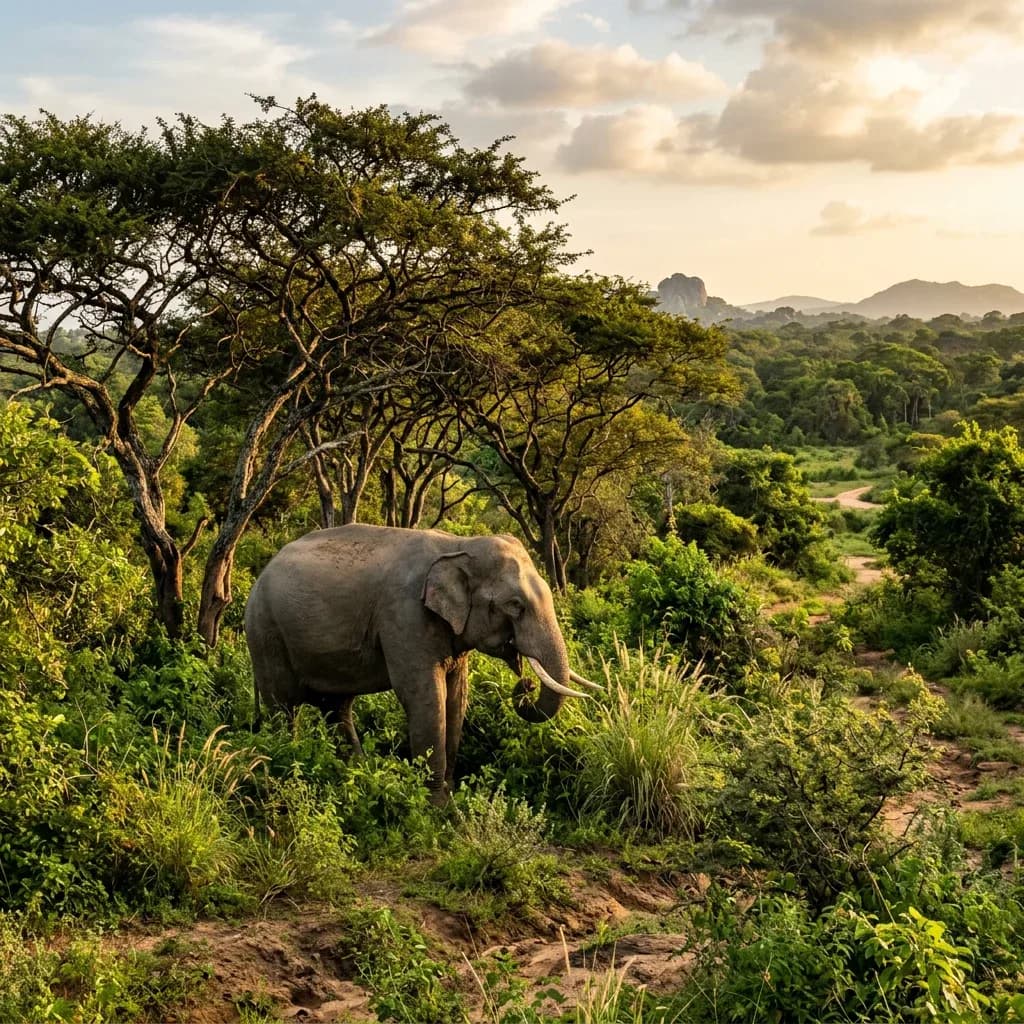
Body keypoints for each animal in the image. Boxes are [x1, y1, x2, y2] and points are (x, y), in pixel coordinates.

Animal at [244, 524, 600, 802]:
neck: (458, 545)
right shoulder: (404, 616)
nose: (525, 684)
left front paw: (450, 795)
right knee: (283, 706)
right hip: (265, 633)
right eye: (515, 605)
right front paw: (437, 807)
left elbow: (457, 696)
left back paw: (357, 770)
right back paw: (287, 762)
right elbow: (425, 696)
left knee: (337, 709)